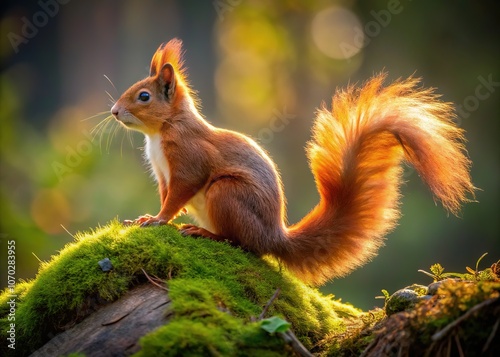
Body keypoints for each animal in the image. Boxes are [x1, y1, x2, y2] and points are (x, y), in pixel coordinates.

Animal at [110, 39, 476, 284]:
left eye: (144, 96)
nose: (114, 111)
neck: (162, 131)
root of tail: (275, 236)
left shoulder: (189, 162)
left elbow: (179, 194)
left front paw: (159, 220)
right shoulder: (163, 174)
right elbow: (166, 195)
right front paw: (149, 216)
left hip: (226, 194)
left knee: (244, 245)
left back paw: (206, 234)